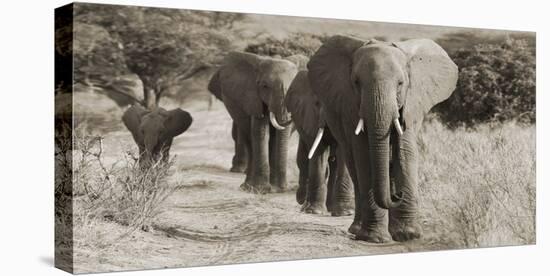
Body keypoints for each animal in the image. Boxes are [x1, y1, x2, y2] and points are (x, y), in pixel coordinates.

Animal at [210, 51, 308, 194]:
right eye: (265, 86)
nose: (284, 189)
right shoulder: (254, 98)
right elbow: (261, 133)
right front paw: (261, 189)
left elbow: (277, 137)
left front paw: (276, 189)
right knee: (250, 140)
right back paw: (247, 187)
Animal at [286, 70, 356, 217]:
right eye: (317, 103)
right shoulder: (309, 116)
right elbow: (318, 151)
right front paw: (314, 211)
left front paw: (346, 212)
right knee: (303, 158)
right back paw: (305, 202)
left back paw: (331, 208)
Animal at [308, 35, 460, 243]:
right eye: (356, 82)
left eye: (401, 83)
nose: (397, 195)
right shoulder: (350, 107)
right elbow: (365, 156)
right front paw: (375, 238)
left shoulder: (411, 103)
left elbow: (406, 150)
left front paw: (408, 235)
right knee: (354, 167)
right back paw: (357, 230)